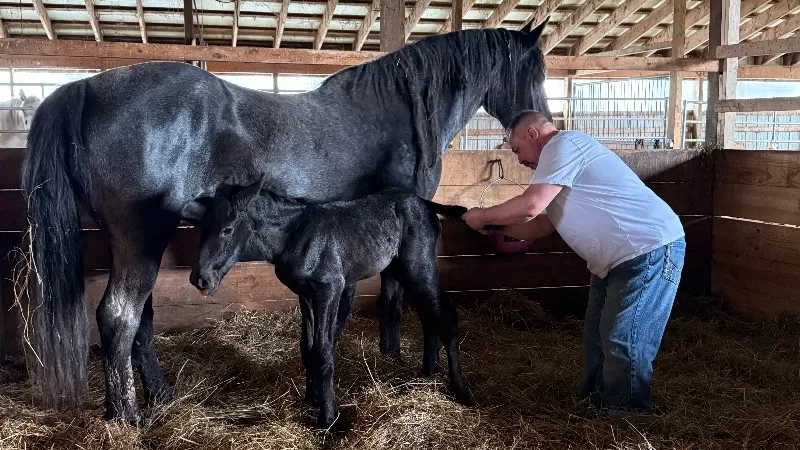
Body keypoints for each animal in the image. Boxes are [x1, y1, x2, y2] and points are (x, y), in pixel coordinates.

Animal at [20, 21, 552, 424]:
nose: (544, 129)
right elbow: (391, 298)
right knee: (119, 317)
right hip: (141, 239)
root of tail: (84, 88)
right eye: (536, 71)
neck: (399, 111)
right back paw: (129, 416)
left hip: (129, 242)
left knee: (139, 321)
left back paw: (156, 399)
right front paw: (397, 361)